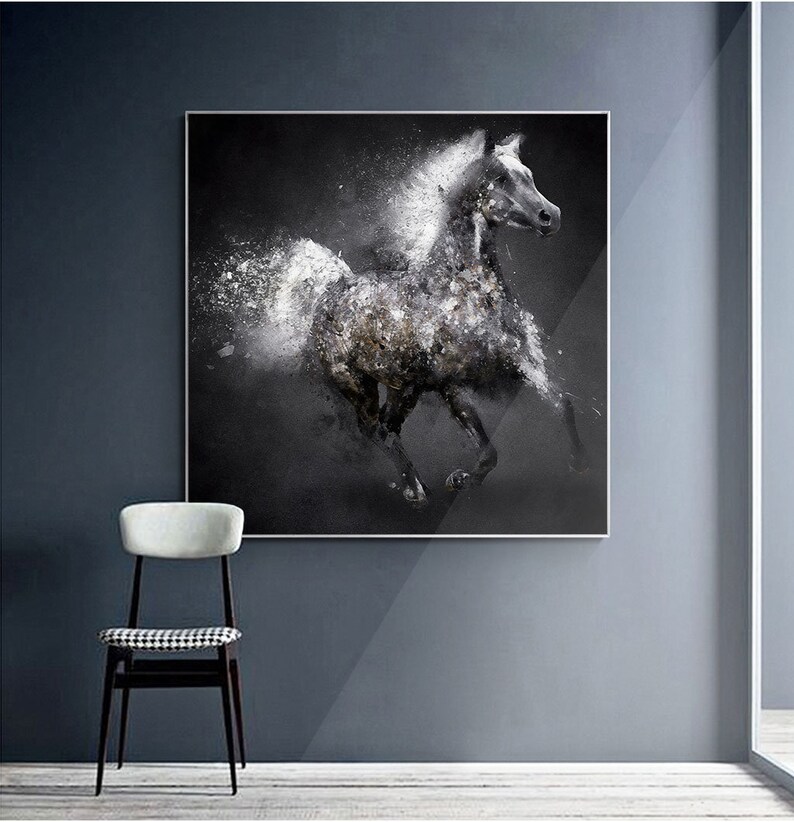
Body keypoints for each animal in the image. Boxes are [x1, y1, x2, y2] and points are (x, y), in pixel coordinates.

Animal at [301, 129, 589, 507]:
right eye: (501, 178)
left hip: (401, 387)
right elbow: (487, 450)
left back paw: (417, 485)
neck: (464, 290)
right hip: (359, 386)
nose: (550, 216)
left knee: (387, 429)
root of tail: (332, 289)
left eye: (529, 174)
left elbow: (562, 404)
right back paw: (414, 490)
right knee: (377, 429)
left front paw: (579, 462)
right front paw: (461, 480)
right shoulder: (448, 384)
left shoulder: (525, 362)